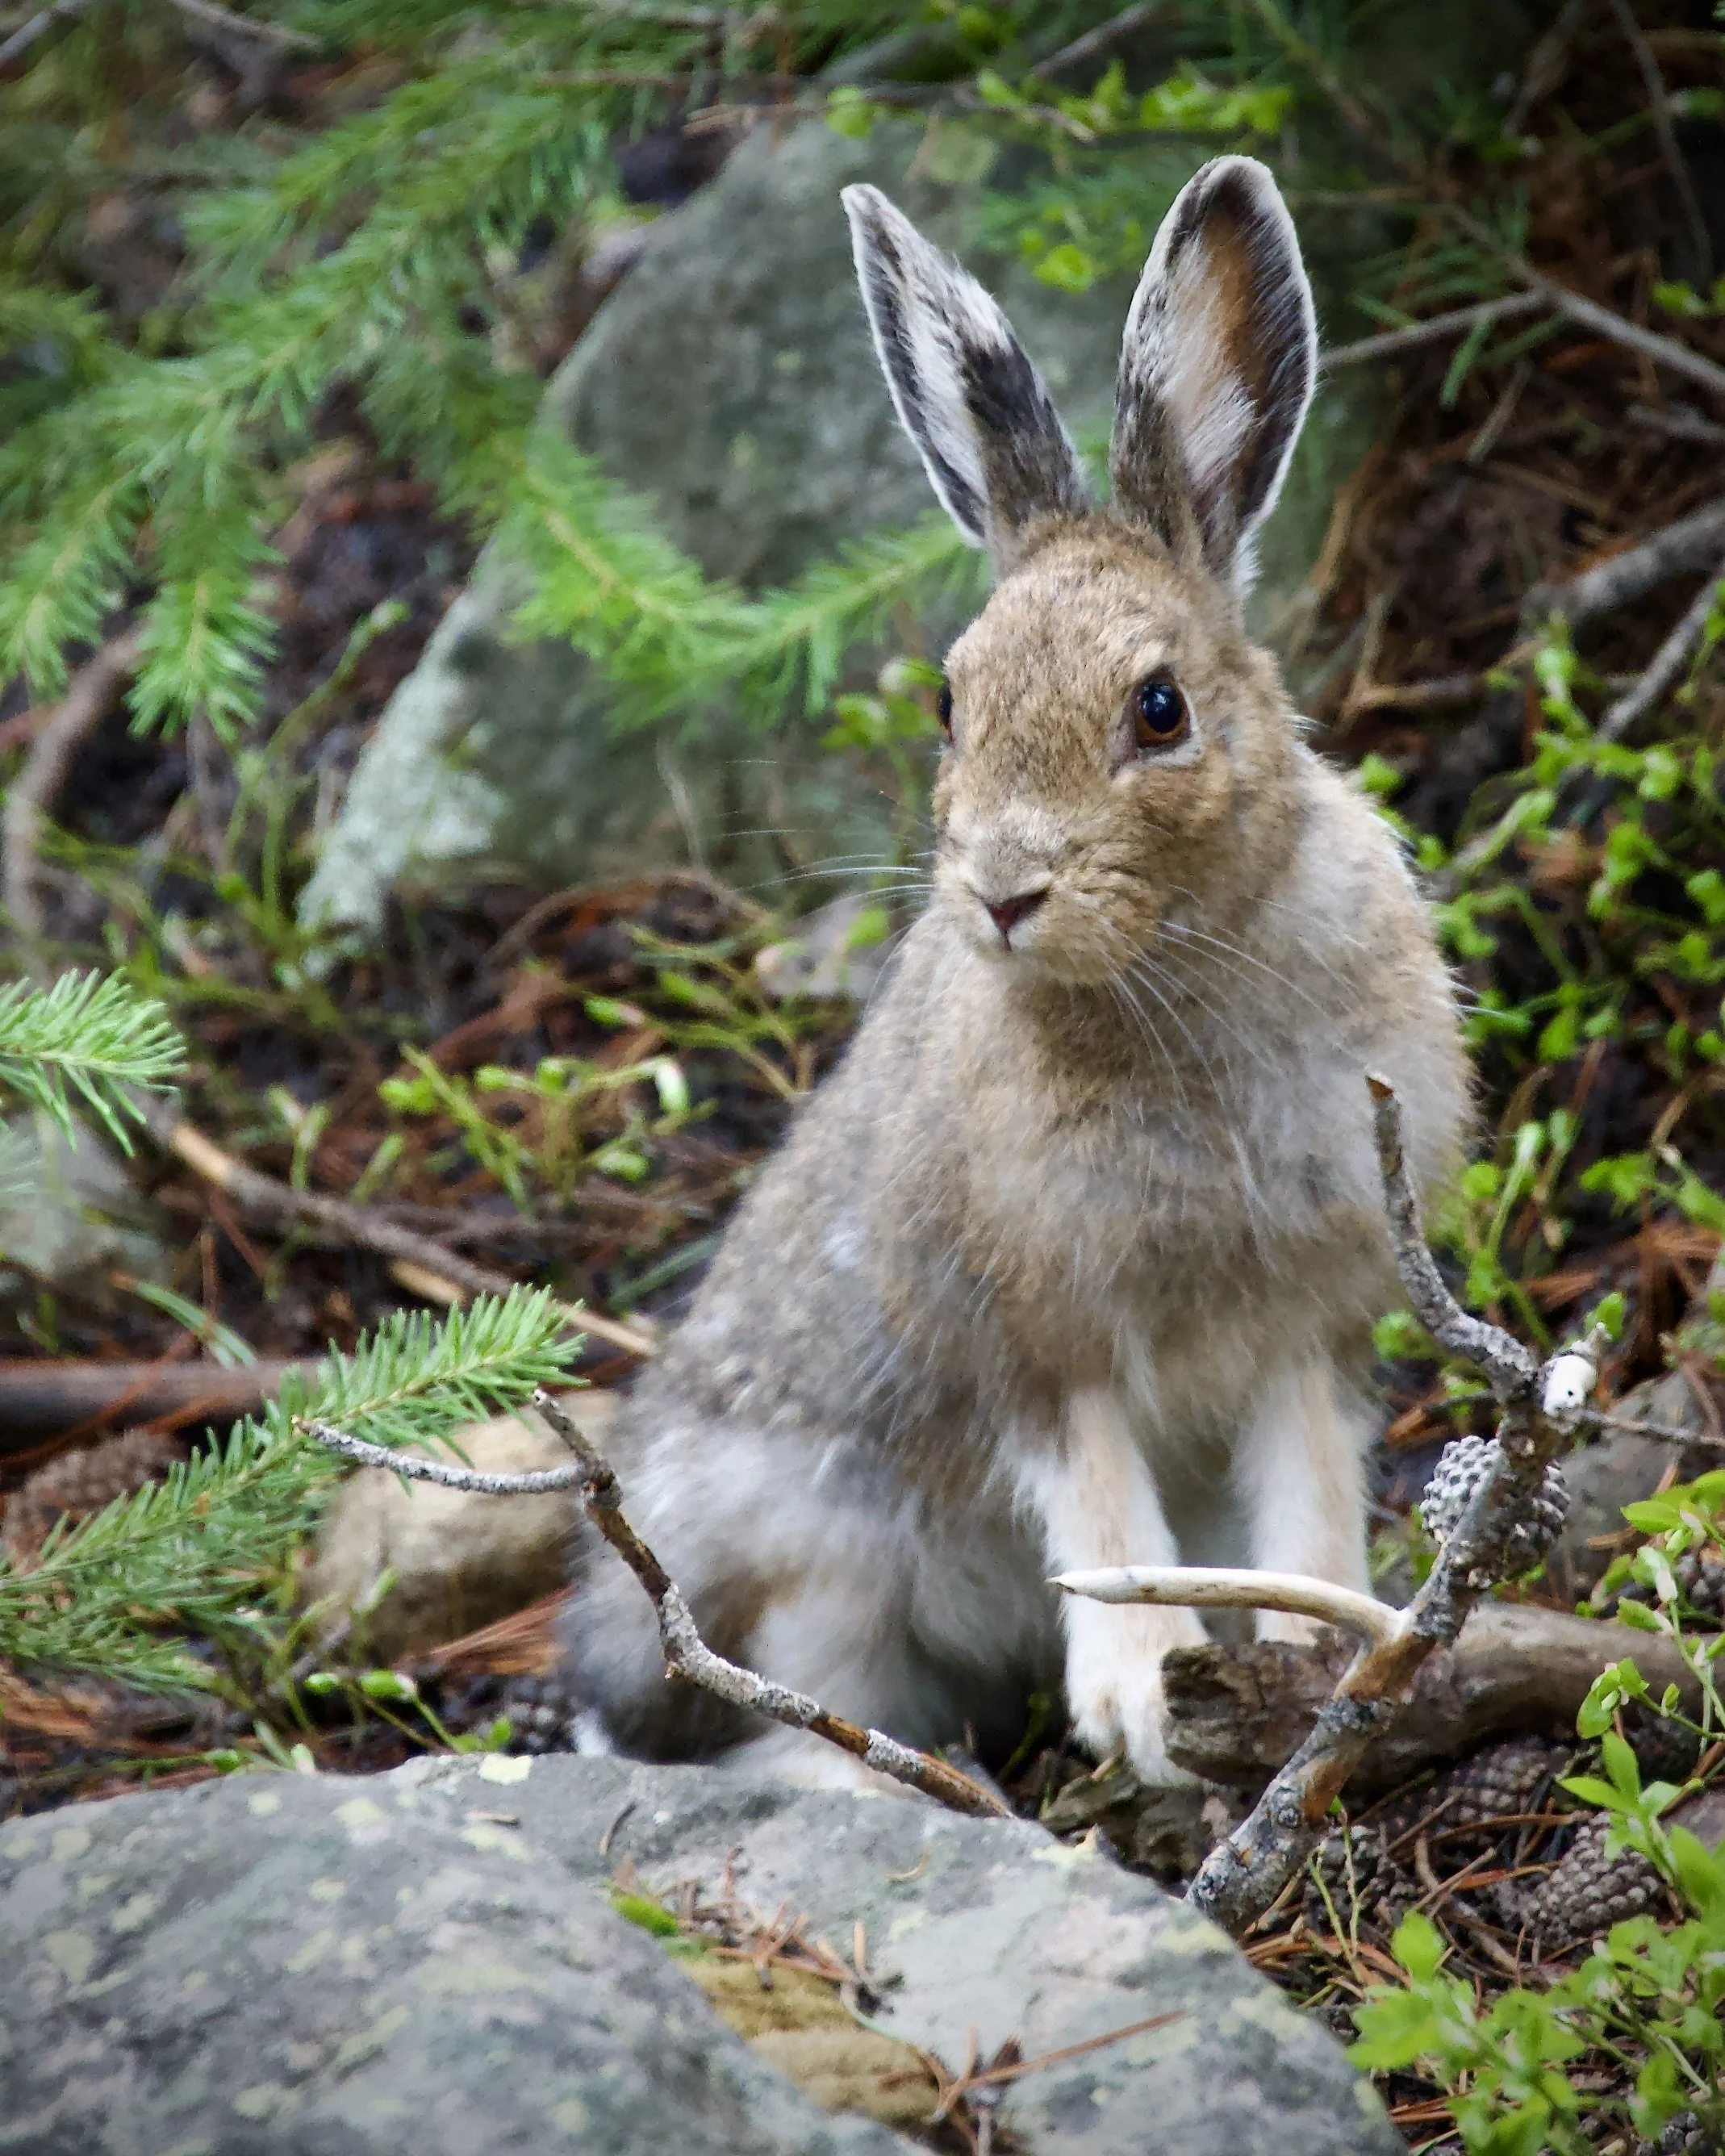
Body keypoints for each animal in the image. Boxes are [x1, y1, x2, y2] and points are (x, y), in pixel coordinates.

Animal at [560, 154, 1469, 1788]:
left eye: (1160, 709)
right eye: (948, 701)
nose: (1000, 893)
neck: (1174, 967)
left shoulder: (1306, 1309)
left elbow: (1303, 1483)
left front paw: (1315, 1648)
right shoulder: (1031, 1329)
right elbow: (1097, 1504)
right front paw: (1142, 1699)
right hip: (813, 1549)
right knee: (793, 1710)